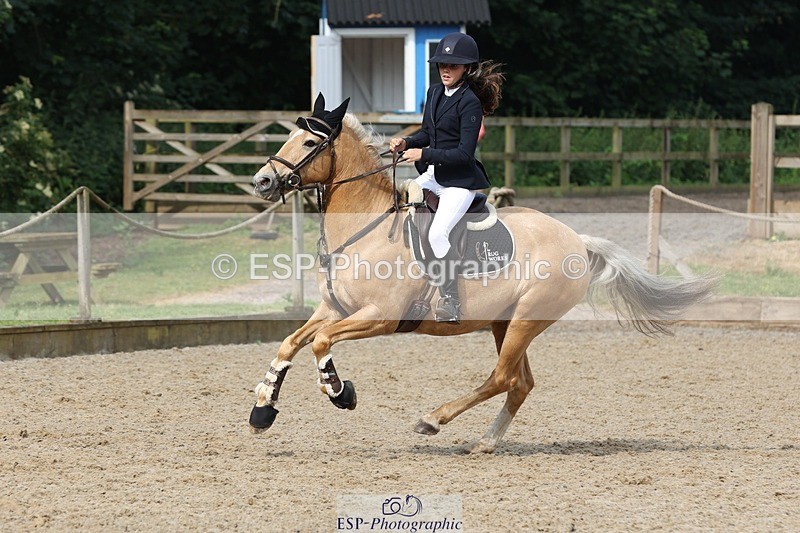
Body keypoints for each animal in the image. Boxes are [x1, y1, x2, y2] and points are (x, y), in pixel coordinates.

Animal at [249, 95, 715, 453]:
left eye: (310, 141)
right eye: (289, 137)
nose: (262, 181)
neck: (367, 227)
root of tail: (576, 239)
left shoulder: (379, 316)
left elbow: (320, 343)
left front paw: (339, 392)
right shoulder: (334, 309)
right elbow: (291, 342)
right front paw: (263, 408)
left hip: (526, 319)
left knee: (503, 377)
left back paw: (433, 420)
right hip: (503, 321)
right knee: (520, 383)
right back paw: (486, 442)